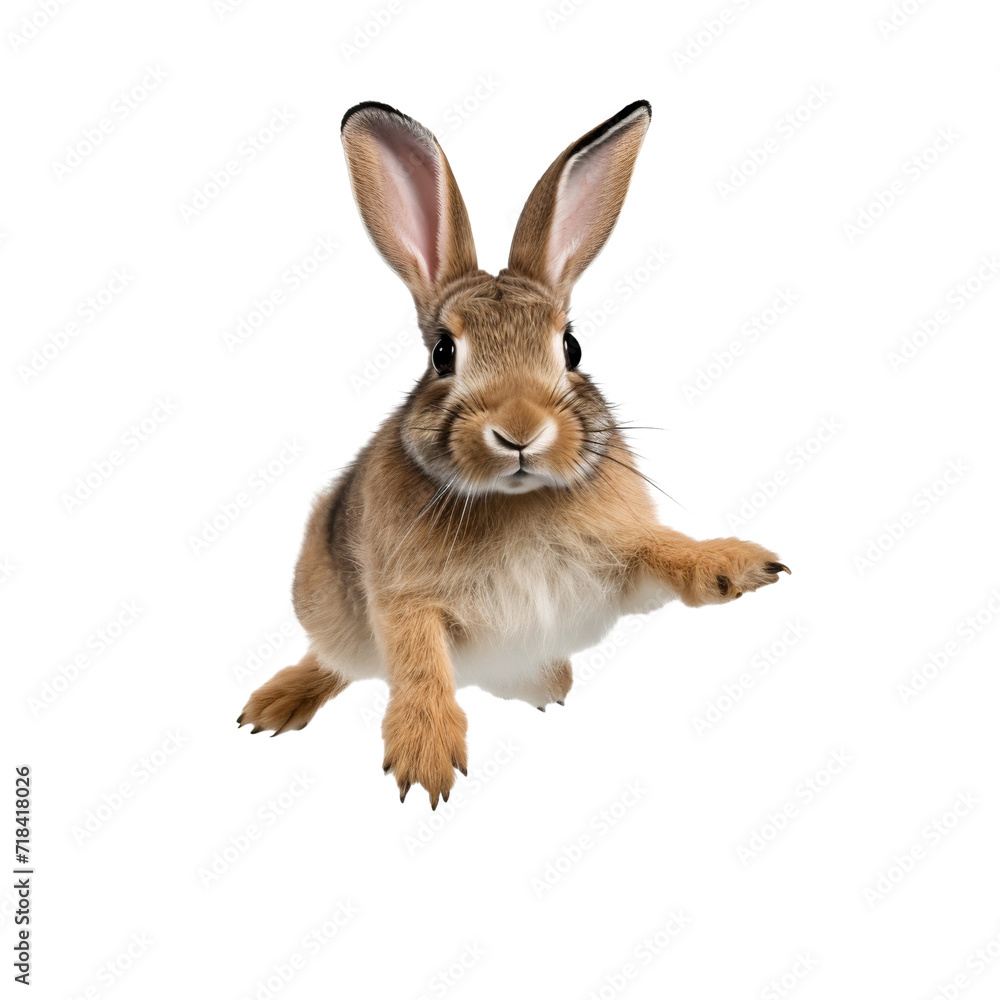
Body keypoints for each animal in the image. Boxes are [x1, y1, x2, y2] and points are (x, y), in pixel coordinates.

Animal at [237, 99, 789, 807]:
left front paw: (739, 567)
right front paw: (425, 755)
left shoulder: (618, 563)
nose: (520, 429)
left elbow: (664, 553)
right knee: (338, 660)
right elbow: (417, 659)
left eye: (572, 347)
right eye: (442, 353)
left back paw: (546, 686)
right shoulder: (402, 600)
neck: (516, 501)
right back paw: (273, 705)